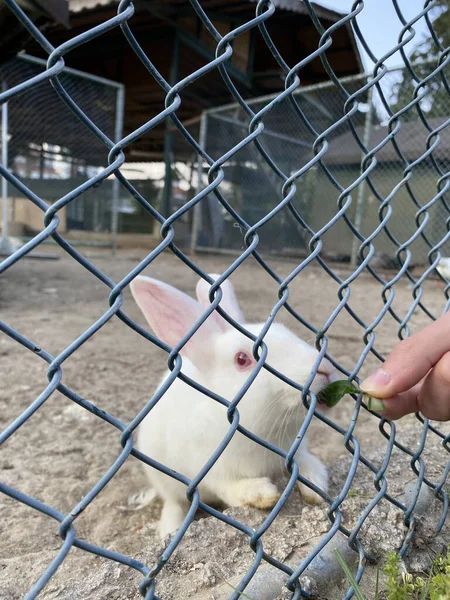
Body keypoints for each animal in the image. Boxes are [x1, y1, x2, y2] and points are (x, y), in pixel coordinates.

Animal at [130, 274, 338, 540]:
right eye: (242, 359)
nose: (324, 369)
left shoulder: (296, 452)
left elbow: (307, 463)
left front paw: (317, 485)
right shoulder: (211, 472)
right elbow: (232, 490)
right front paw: (264, 493)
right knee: (174, 502)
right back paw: (171, 528)